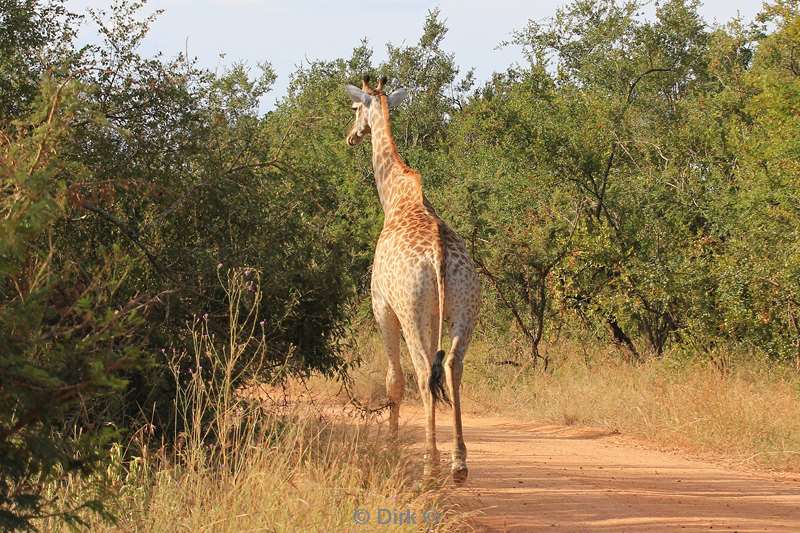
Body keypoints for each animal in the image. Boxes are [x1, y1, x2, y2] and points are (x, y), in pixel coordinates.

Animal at [346, 72, 482, 480]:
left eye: (355, 107)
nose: (351, 136)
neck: (395, 199)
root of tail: (438, 254)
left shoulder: (381, 306)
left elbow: (393, 380)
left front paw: (391, 446)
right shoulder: (434, 313)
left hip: (409, 310)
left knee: (421, 372)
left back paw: (429, 462)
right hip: (465, 306)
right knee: (452, 366)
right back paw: (458, 461)